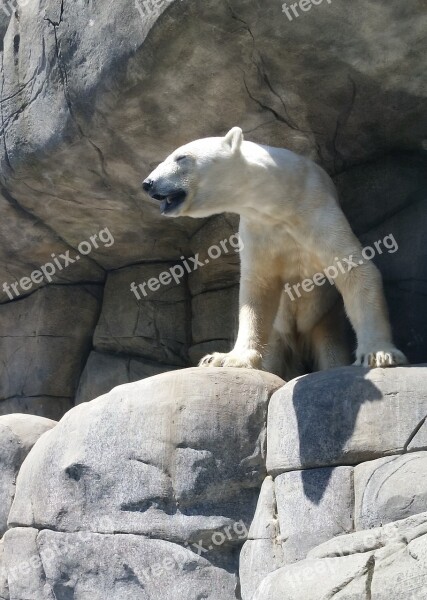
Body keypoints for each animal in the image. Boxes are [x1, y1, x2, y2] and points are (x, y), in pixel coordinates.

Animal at [144, 128, 408, 378]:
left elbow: (354, 269)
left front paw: (378, 354)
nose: (148, 183)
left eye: (181, 157)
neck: (281, 200)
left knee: (330, 346)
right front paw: (228, 358)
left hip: (325, 319)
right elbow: (258, 290)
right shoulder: (258, 229)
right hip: (280, 335)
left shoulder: (316, 209)